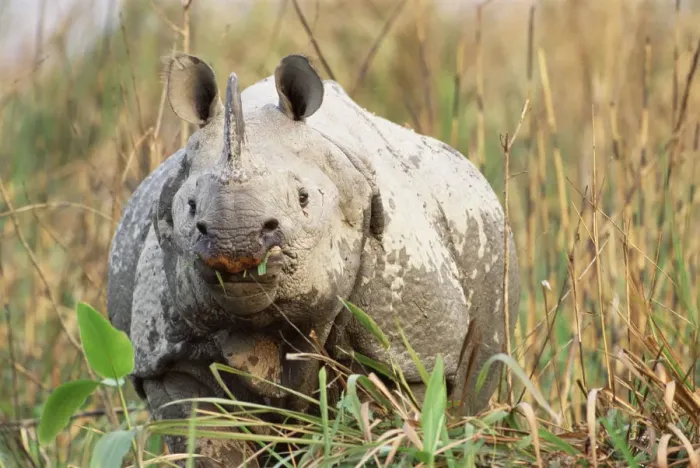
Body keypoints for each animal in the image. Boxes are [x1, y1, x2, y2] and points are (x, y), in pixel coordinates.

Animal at [107, 53, 520, 466]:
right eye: (190, 207)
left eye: (303, 198)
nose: (235, 240)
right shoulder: (167, 359)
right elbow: (206, 441)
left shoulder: (408, 352)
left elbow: (382, 425)